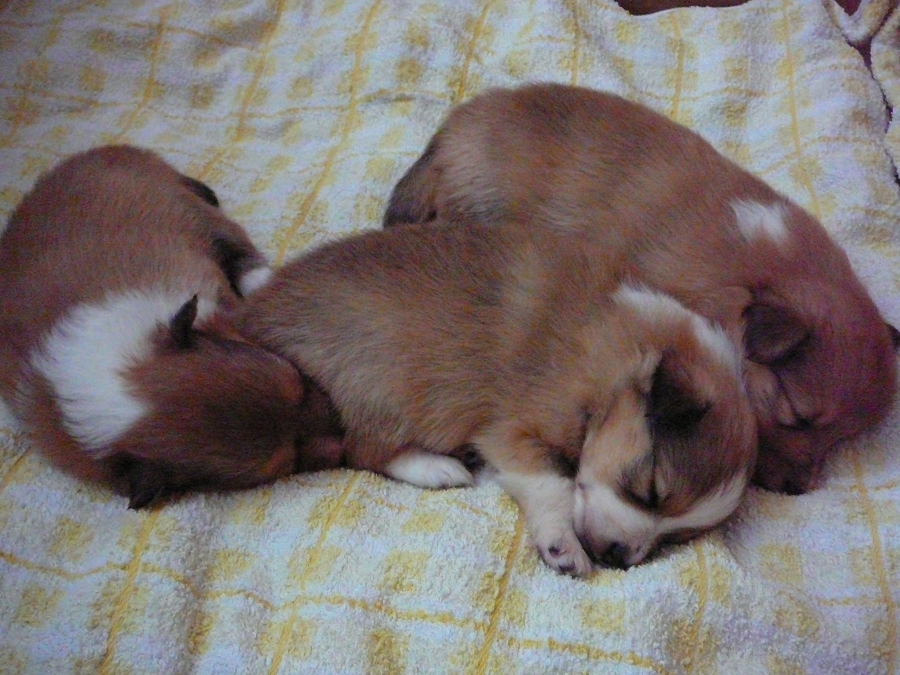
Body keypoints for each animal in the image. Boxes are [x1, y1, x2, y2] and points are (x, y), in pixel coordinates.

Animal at [0, 145, 343, 508]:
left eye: (297, 383)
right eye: (288, 462)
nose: (345, 436)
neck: (103, 372)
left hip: (191, 209)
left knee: (239, 249)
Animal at [238, 219, 756, 573]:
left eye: (678, 537)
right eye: (649, 490)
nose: (618, 556)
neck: (616, 359)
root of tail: (250, 321)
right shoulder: (513, 432)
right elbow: (554, 484)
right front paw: (561, 544)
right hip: (382, 383)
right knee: (361, 450)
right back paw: (437, 468)